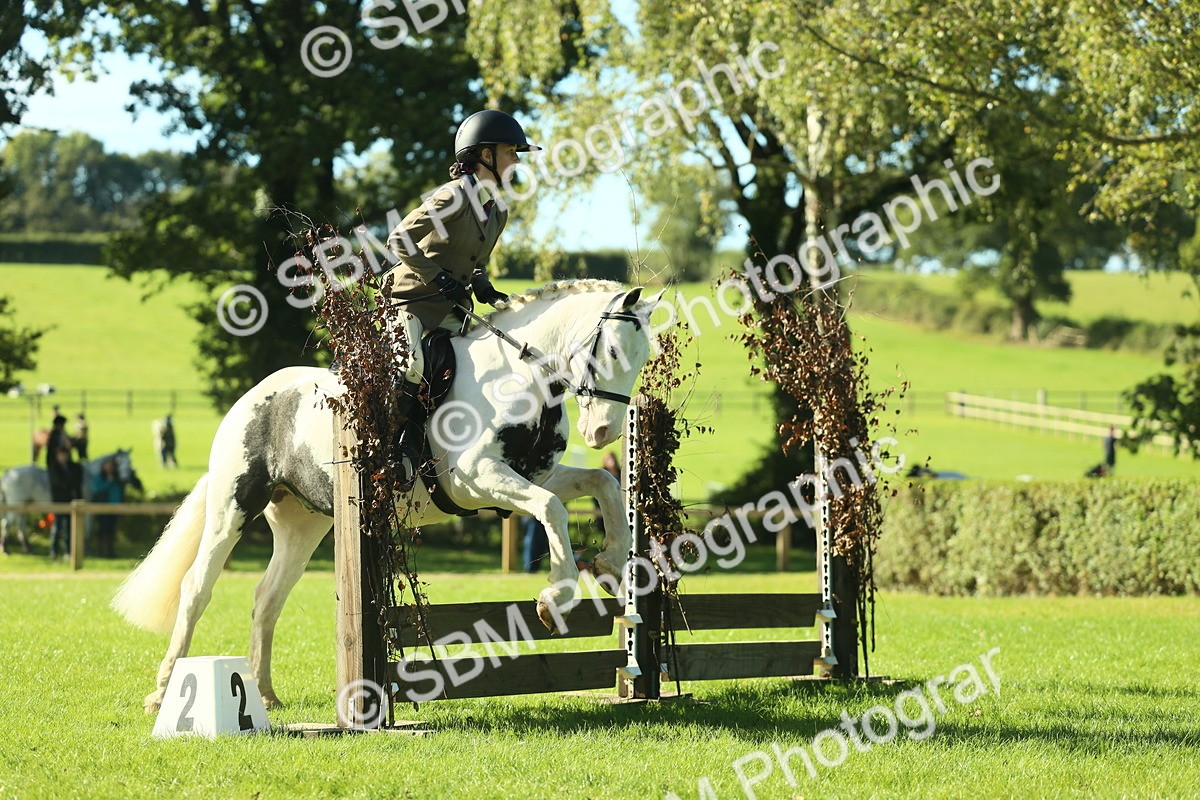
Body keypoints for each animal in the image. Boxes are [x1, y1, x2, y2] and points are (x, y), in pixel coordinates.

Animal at [0, 450, 142, 554]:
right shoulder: (87, 508)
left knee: (20, 527)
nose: (125, 478)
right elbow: (88, 529)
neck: (90, 476)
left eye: (130, 462)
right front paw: (87, 549)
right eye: (119, 463)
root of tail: (8, 474)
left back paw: (28, 548)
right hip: (16, 505)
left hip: (25, 505)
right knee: (7, 524)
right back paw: (6, 549)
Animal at [112, 280, 662, 714]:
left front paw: (613, 561)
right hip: (233, 506)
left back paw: (264, 694)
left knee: (268, 597)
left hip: (305, 524)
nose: (604, 431)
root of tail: (254, 397)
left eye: (642, 360)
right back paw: (163, 692)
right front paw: (556, 597)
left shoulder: (532, 475)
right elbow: (552, 510)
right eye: (614, 352)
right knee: (195, 589)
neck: (520, 378)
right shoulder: (476, 477)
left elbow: (600, 487)